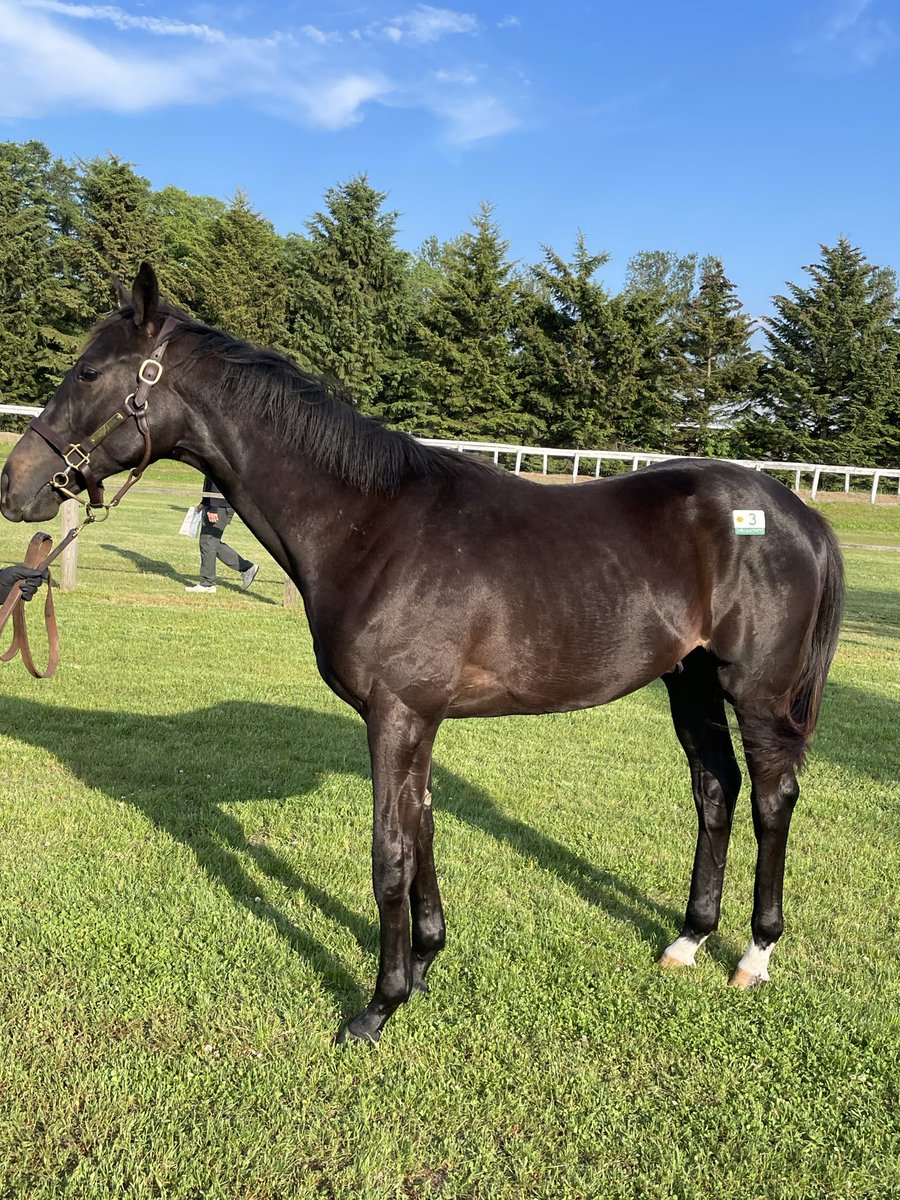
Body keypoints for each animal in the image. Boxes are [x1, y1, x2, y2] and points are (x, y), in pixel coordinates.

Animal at [0, 263, 844, 1044]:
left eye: (89, 373)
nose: (16, 485)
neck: (372, 525)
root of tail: (796, 513)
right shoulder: (418, 719)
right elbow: (424, 832)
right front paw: (426, 964)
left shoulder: (397, 714)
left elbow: (390, 855)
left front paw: (378, 1007)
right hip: (689, 681)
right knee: (715, 789)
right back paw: (688, 940)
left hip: (756, 691)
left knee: (772, 799)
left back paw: (755, 955)